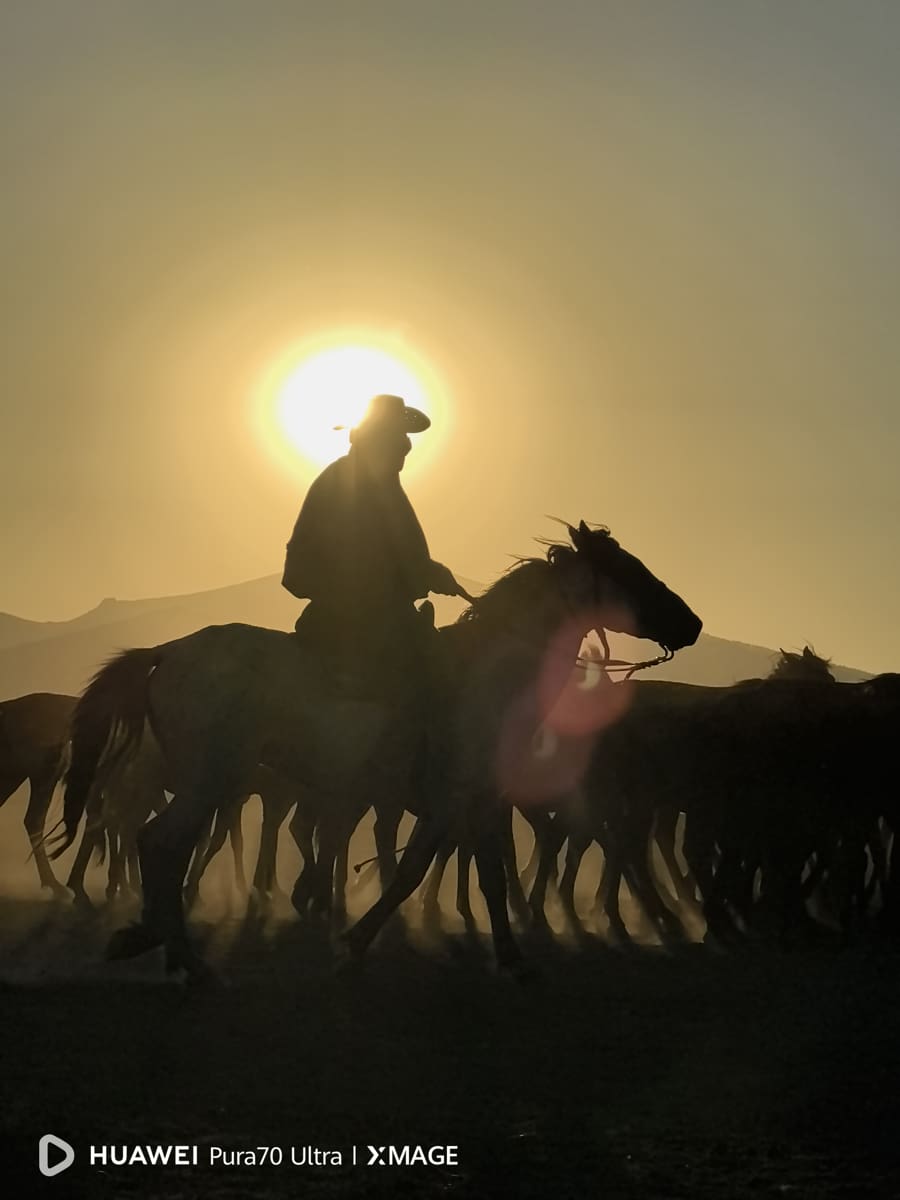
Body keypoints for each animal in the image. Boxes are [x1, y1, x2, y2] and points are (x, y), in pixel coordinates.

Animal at [51, 520, 705, 979]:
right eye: (629, 570)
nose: (693, 624)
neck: (489, 671)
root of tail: (166, 652)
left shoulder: (465, 801)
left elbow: (469, 872)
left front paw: (509, 954)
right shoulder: (461, 796)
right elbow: (425, 870)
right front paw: (356, 943)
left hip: (210, 780)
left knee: (159, 842)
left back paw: (155, 940)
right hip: (213, 777)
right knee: (162, 843)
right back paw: (185, 957)